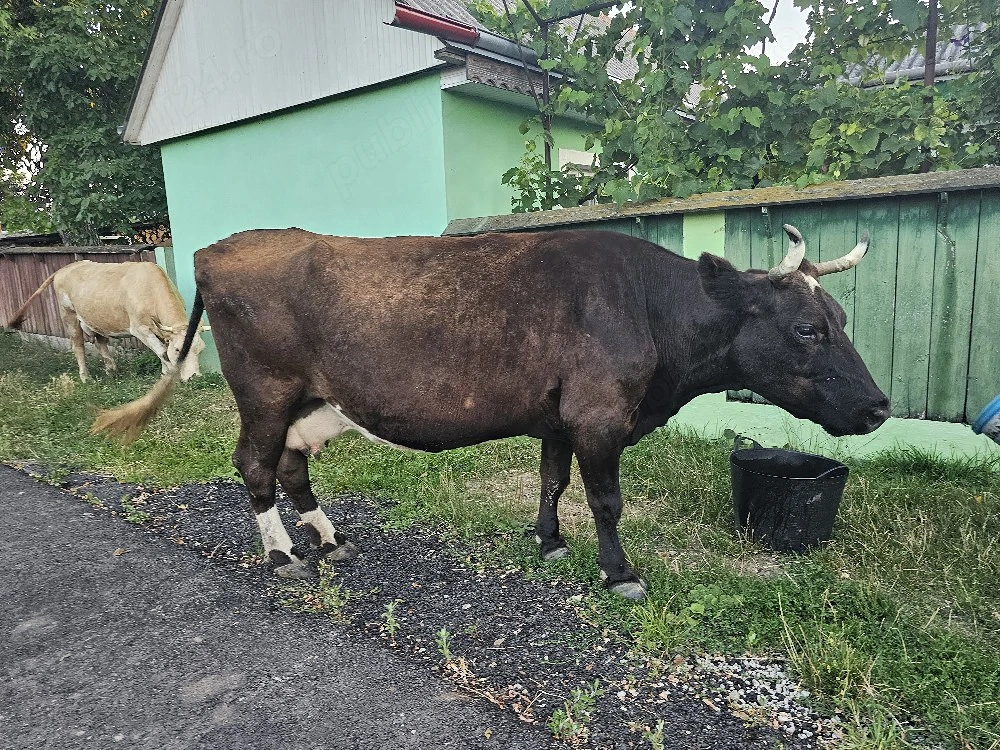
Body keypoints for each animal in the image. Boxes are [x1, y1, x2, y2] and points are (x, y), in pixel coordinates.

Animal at [6, 260, 206, 382]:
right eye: (179, 349)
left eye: (201, 349)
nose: (194, 376)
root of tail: (65, 268)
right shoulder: (139, 329)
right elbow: (163, 352)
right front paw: (168, 376)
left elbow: (162, 350)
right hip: (68, 315)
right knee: (78, 346)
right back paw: (85, 377)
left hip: (97, 319)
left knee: (100, 342)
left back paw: (111, 370)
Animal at [92, 226, 889, 599]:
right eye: (807, 329)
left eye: (843, 317)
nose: (879, 407)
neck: (650, 311)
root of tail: (219, 249)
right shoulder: (599, 415)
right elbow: (606, 498)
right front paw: (619, 573)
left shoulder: (560, 416)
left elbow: (553, 482)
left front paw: (549, 543)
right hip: (264, 390)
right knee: (253, 464)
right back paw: (283, 553)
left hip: (312, 401)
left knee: (290, 464)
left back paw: (330, 538)